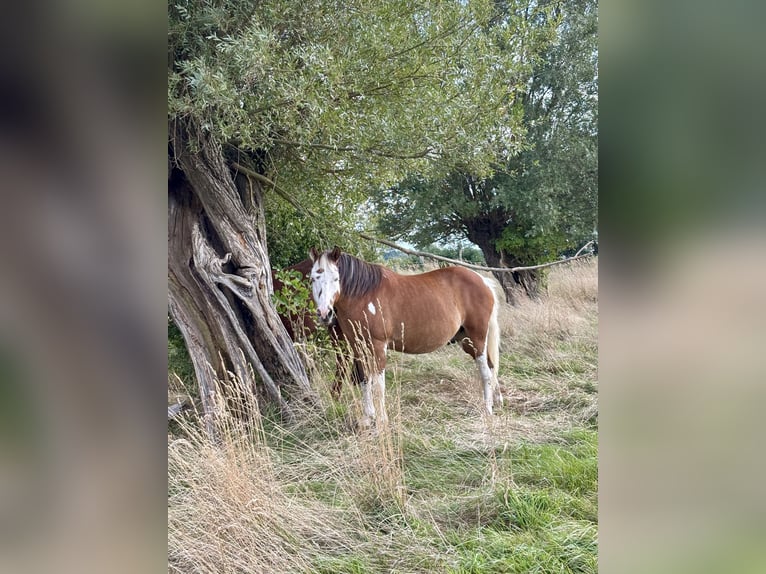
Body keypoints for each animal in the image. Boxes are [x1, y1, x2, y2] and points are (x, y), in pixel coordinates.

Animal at [309, 246, 502, 427]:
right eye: (313, 278)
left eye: (336, 279)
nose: (324, 314)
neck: (364, 295)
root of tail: (483, 281)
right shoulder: (358, 346)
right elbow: (364, 380)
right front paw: (367, 418)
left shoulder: (378, 347)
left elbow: (378, 385)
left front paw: (382, 421)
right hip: (466, 340)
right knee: (492, 366)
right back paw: (497, 400)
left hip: (478, 338)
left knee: (485, 373)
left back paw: (487, 409)